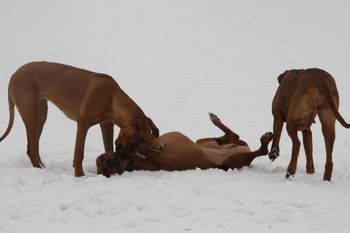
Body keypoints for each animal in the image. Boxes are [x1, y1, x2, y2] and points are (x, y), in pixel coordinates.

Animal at [96, 113, 274, 177]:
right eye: (105, 165)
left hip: (202, 142)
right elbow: (141, 145)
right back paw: (265, 139)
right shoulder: (170, 162)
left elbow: (144, 137)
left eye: (104, 157)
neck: (130, 162)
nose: (117, 156)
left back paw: (217, 124)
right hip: (233, 160)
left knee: (234, 137)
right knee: (261, 150)